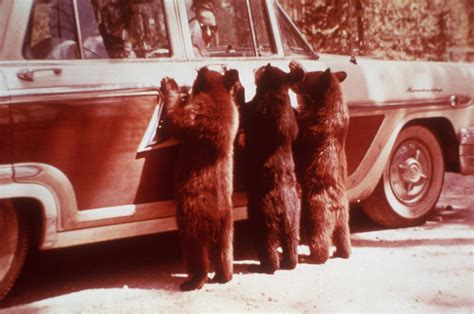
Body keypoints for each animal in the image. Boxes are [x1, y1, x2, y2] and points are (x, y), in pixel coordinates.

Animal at [161, 67, 241, 292]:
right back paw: (224, 276)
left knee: (194, 249)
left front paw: (170, 84)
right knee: (225, 250)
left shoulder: (197, 112)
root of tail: (217, 217)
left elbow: (176, 119)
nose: (197, 72)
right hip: (227, 225)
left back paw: (192, 281)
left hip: (192, 217)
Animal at [241, 62, 304, 274]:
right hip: (293, 219)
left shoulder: (255, 110)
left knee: (266, 244)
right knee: (291, 242)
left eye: (261, 70)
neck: (276, 93)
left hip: (263, 220)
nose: (254, 70)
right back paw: (290, 262)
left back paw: (266, 265)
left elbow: (245, 111)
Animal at [290, 64, 354, 264]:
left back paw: (312, 256)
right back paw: (343, 252)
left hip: (314, 212)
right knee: (343, 238)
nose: (295, 81)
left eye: (306, 78)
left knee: (320, 239)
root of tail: (336, 208)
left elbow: (301, 128)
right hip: (344, 221)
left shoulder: (313, 128)